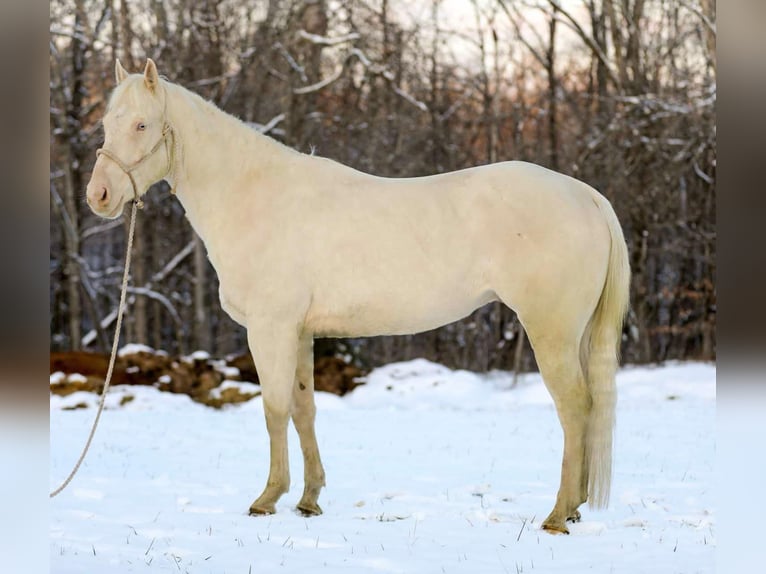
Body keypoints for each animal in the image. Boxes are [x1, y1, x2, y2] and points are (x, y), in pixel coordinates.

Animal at [87, 58, 632, 536]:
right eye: (106, 123)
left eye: (141, 124)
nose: (99, 196)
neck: (255, 197)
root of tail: (586, 195)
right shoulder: (300, 332)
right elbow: (303, 409)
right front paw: (308, 500)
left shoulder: (270, 328)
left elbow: (273, 409)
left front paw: (267, 498)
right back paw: (575, 507)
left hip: (551, 331)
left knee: (574, 407)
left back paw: (558, 514)